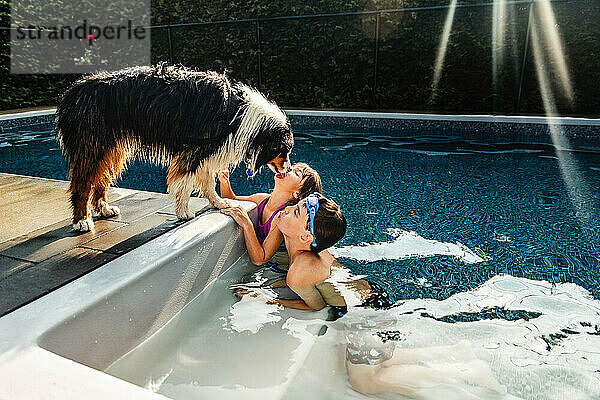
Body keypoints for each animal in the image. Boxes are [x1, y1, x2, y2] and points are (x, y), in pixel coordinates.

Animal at [56, 63, 292, 231]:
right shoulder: (192, 150)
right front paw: (183, 212)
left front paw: (219, 203)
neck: (238, 113)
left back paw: (104, 209)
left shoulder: (205, 152)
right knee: (82, 183)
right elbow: (186, 183)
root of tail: (71, 93)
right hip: (92, 147)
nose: (289, 169)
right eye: (285, 151)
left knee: (101, 179)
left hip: (112, 150)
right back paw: (81, 221)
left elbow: (208, 182)